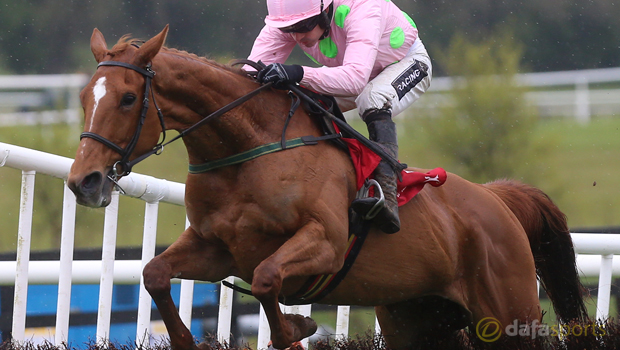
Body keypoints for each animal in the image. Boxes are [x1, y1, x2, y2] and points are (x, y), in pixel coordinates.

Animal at [68, 27, 588, 350]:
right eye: (83, 97)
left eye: (128, 97)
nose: (83, 182)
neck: (247, 153)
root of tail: (496, 198)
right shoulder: (217, 248)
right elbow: (154, 273)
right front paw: (183, 338)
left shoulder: (325, 243)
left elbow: (267, 279)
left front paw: (297, 325)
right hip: (417, 321)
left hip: (510, 319)